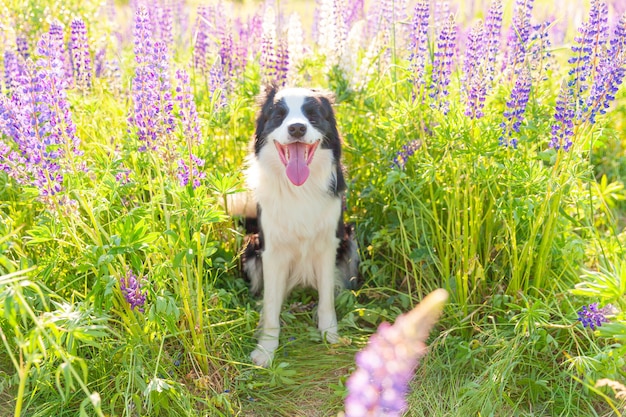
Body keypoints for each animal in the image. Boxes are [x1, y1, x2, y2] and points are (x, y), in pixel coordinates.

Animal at [228, 86, 356, 366]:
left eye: (313, 114)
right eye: (279, 114)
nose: (297, 128)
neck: (299, 189)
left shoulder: (328, 244)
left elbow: (326, 300)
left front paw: (330, 336)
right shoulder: (271, 251)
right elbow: (271, 305)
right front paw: (266, 349)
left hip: (351, 243)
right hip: (251, 248)